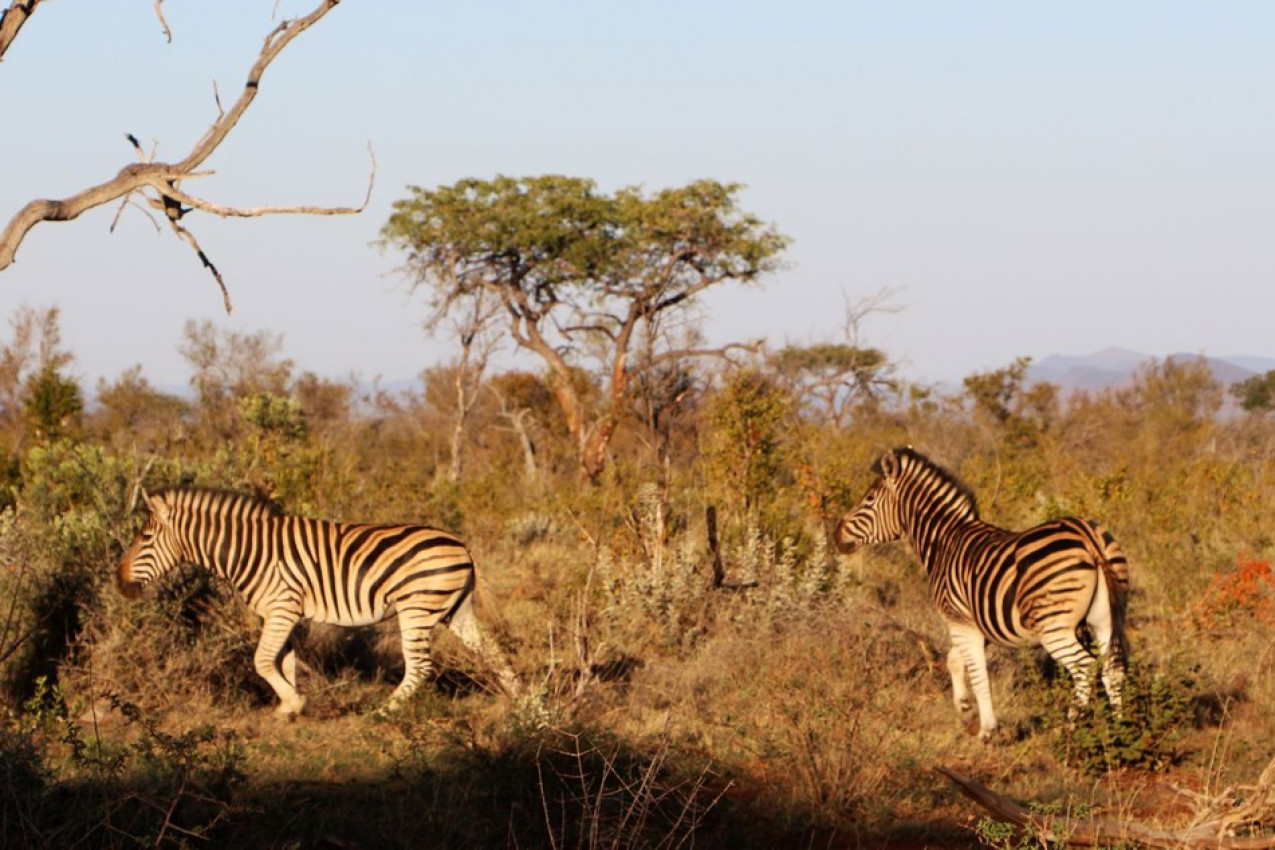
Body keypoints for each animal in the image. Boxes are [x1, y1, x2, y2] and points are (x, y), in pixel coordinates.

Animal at [116, 484, 517, 718]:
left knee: (420, 666)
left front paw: (294, 703)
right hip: (454, 609)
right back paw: (523, 702)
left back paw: (382, 713)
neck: (249, 552)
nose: (119, 583)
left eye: (146, 537)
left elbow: (262, 660)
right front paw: (288, 707)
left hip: (416, 608)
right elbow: (283, 660)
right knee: (492, 650)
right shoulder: (284, 613)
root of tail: (461, 544)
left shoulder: (281, 606)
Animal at [836, 448, 1127, 739]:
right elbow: (955, 660)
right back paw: (1122, 731)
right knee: (1113, 669)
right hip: (1106, 619)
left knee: (1085, 667)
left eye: (869, 499)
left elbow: (978, 675)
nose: (837, 533)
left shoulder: (959, 620)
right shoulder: (973, 623)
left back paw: (1067, 732)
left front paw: (987, 730)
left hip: (1054, 626)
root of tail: (1088, 537)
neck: (944, 542)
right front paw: (966, 713)